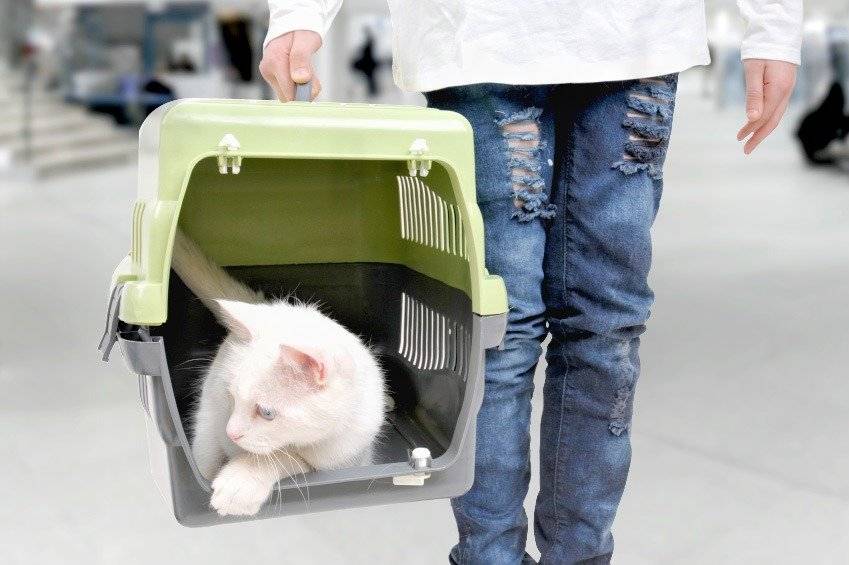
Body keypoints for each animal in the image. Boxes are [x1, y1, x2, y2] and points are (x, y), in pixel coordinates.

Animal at [171, 229, 387, 517]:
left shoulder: (343, 461)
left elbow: (283, 457)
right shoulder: (214, 411)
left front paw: (240, 483)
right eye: (232, 397)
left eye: (267, 412)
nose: (231, 433)